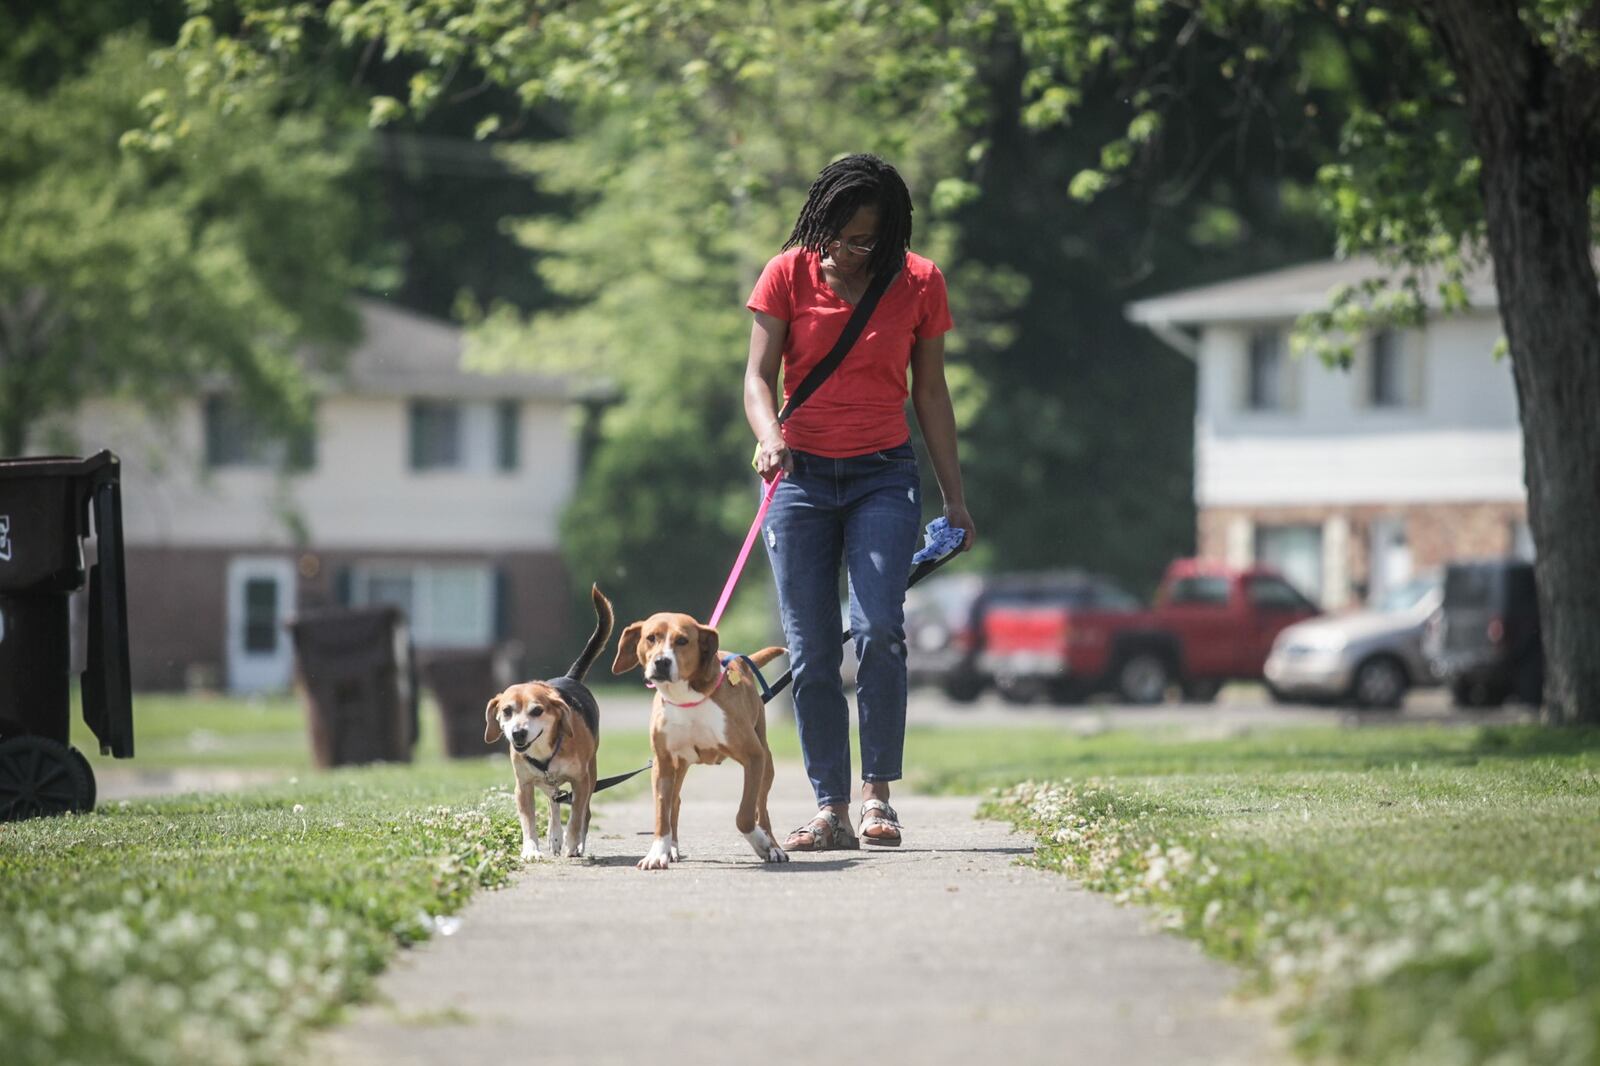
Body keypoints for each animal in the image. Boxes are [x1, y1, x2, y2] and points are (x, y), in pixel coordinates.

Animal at [480, 585, 611, 857]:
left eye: (537, 710)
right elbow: (529, 821)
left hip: (591, 773)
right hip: (548, 786)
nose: (518, 733)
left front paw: (572, 843)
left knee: (583, 813)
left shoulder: (581, 782)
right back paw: (554, 836)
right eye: (507, 711)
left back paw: (575, 843)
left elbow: (576, 817)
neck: (544, 753)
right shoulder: (523, 786)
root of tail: (569, 677)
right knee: (553, 803)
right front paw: (531, 849)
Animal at [611, 611, 787, 870]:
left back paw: (772, 846)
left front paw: (761, 843)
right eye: (651, 637)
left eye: (683, 640)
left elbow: (745, 815)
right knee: (675, 801)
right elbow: (661, 814)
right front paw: (657, 853)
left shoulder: (753, 756)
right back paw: (672, 848)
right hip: (679, 766)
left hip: (766, 762)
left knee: (761, 805)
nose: (661, 661)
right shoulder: (663, 763)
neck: (685, 698)